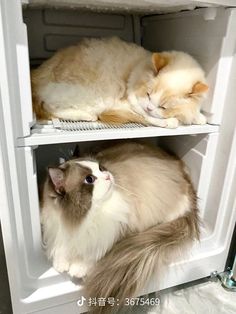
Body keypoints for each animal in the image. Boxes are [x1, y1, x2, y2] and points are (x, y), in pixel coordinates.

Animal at [31, 37, 208, 129]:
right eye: (148, 95)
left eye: (163, 106)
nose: (150, 107)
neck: (138, 67)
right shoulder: (128, 104)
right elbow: (148, 117)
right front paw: (171, 121)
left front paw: (199, 118)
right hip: (92, 97)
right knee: (51, 107)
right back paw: (88, 116)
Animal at [40, 142, 199, 312]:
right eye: (89, 179)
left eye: (101, 168)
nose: (108, 175)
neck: (82, 220)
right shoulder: (58, 230)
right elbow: (59, 248)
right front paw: (61, 265)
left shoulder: (117, 233)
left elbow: (93, 254)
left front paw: (77, 269)